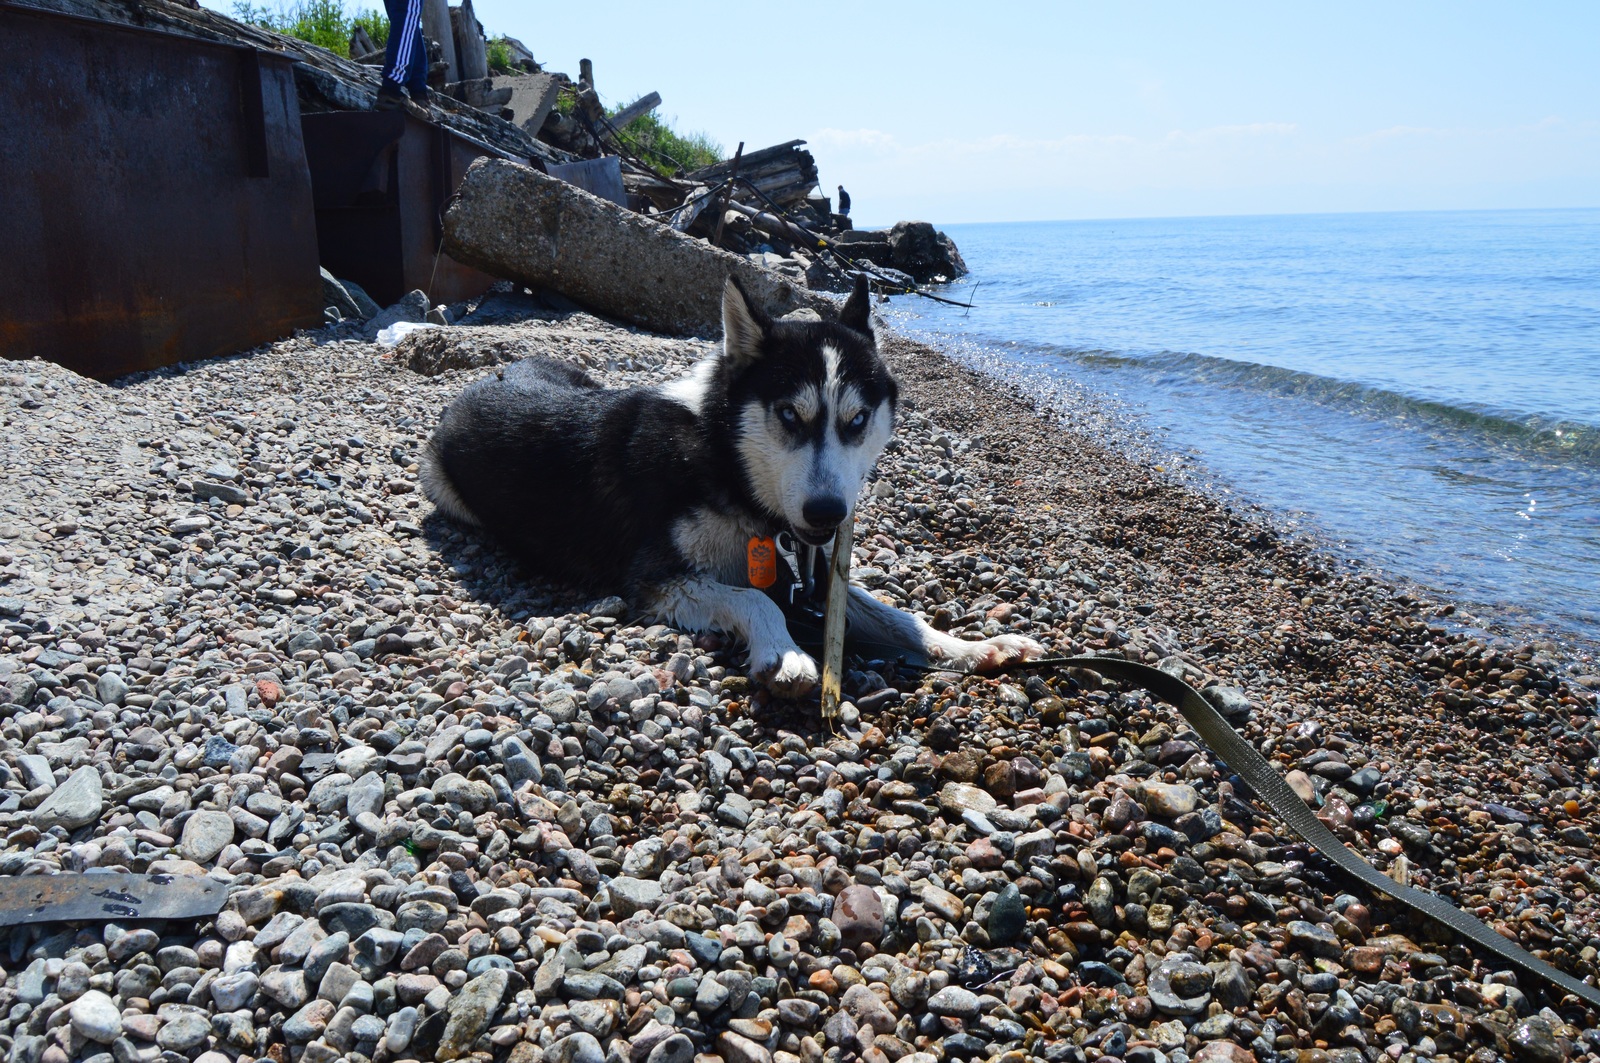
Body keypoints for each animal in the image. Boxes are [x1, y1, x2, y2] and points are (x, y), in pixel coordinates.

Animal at [419, 273, 1043, 694]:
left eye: (857, 420)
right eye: (789, 415)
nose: (826, 514)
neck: (726, 461)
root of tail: (491, 376)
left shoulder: (817, 578)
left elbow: (897, 615)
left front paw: (975, 647)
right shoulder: (657, 579)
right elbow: (753, 598)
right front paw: (783, 652)